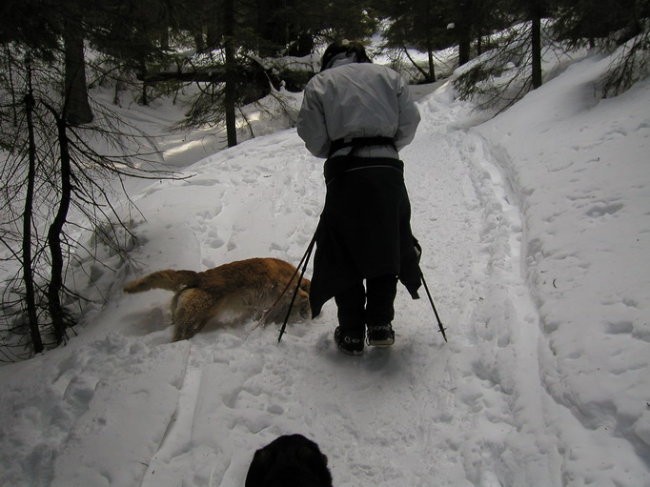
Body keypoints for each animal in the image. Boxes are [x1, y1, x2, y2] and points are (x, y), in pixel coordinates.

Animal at [126, 258, 312, 342]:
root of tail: (201, 277)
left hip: (204, 313)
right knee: (181, 332)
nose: (310, 316)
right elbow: (304, 296)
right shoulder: (286, 288)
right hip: (196, 312)